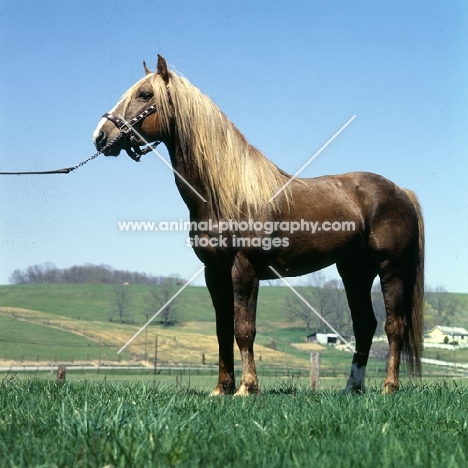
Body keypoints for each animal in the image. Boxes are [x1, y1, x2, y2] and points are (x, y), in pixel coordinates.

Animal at [92, 56, 424, 396]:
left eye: (145, 95)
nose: (101, 136)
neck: (225, 193)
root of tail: (401, 192)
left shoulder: (244, 269)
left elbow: (244, 329)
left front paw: (247, 387)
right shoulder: (215, 273)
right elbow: (223, 330)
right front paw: (222, 388)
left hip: (390, 269)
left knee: (394, 325)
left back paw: (389, 386)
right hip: (355, 272)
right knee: (365, 324)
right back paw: (352, 388)